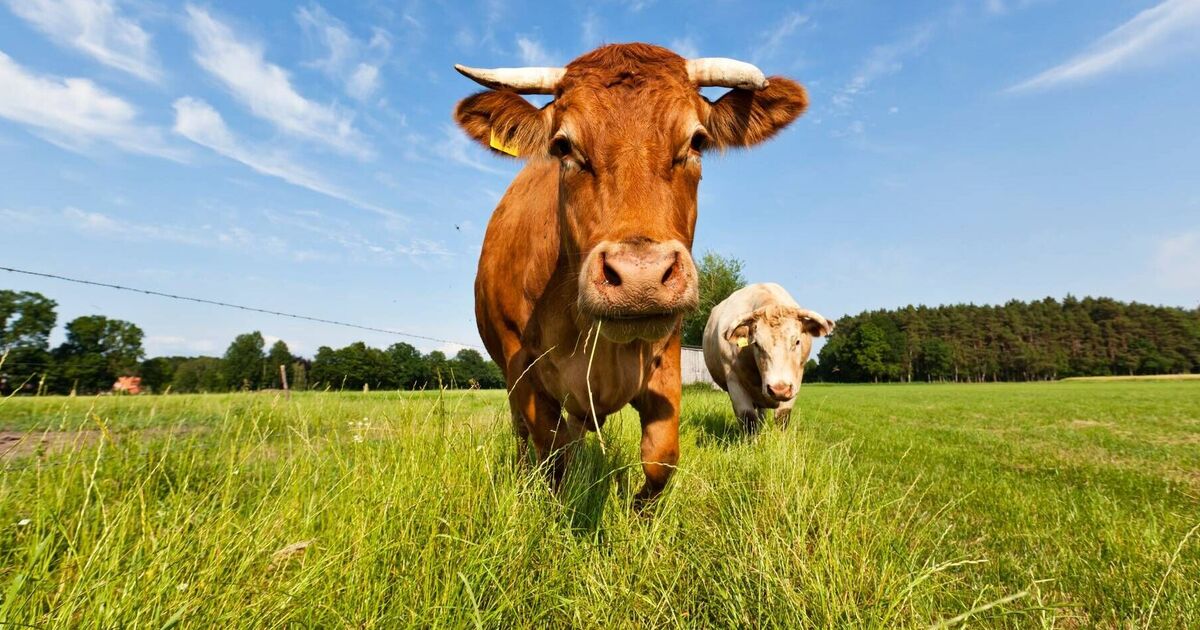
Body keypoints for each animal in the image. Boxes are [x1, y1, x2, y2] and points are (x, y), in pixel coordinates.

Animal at [454, 43, 809, 506]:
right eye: (563, 145)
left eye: (697, 140)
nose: (641, 278)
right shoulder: (524, 370)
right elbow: (551, 456)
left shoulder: (667, 357)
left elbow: (661, 459)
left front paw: (638, 511)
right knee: (526, 437)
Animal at [703, 283, 834, 433]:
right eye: (756, 344)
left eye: (797, 341)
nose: (779, 389)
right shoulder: (734, 382)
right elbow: (748, 419)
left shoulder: (795, 382)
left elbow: (782, 417)